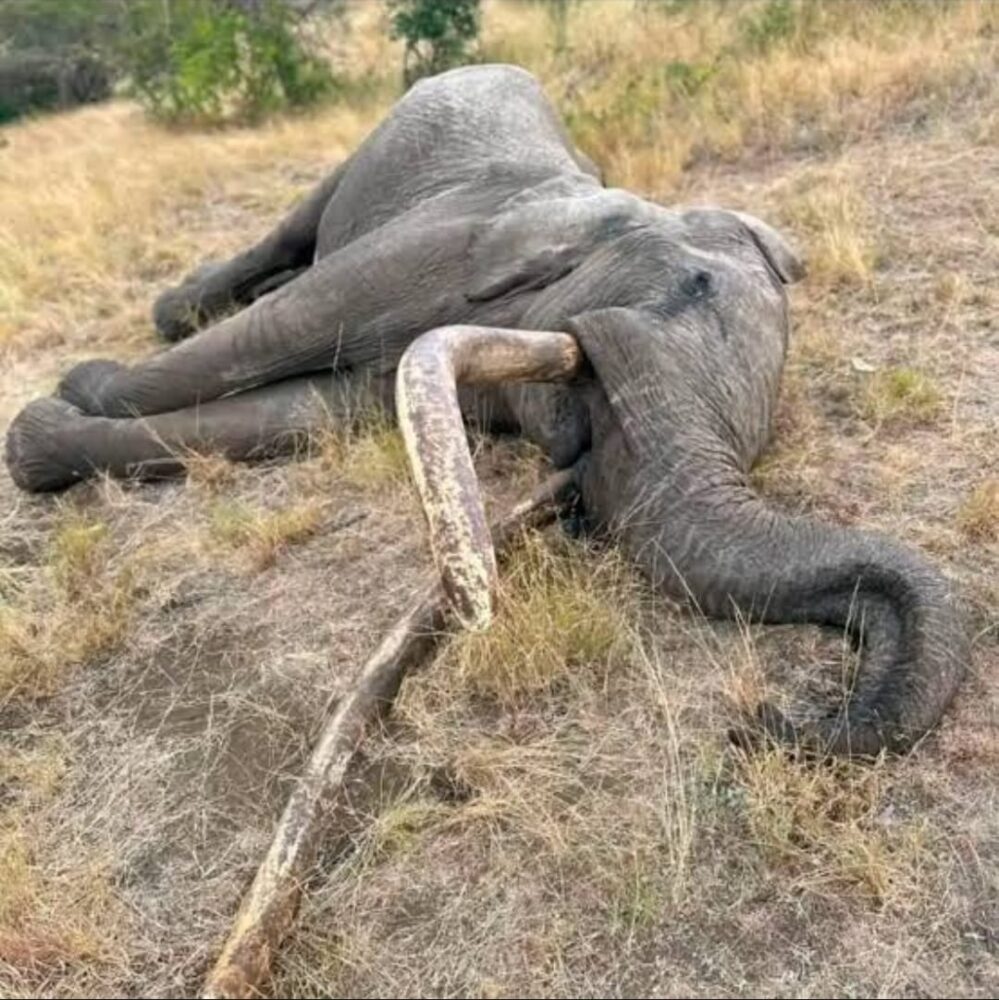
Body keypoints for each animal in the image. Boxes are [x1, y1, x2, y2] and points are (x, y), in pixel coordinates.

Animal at [5, 64, 966, 758]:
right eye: (688, 287)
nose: (766, 720)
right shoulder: (443, 246)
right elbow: (270, 338)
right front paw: (61, 403)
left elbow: (311, 414)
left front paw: (41, 441)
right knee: (287, 239)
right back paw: (178, 309)